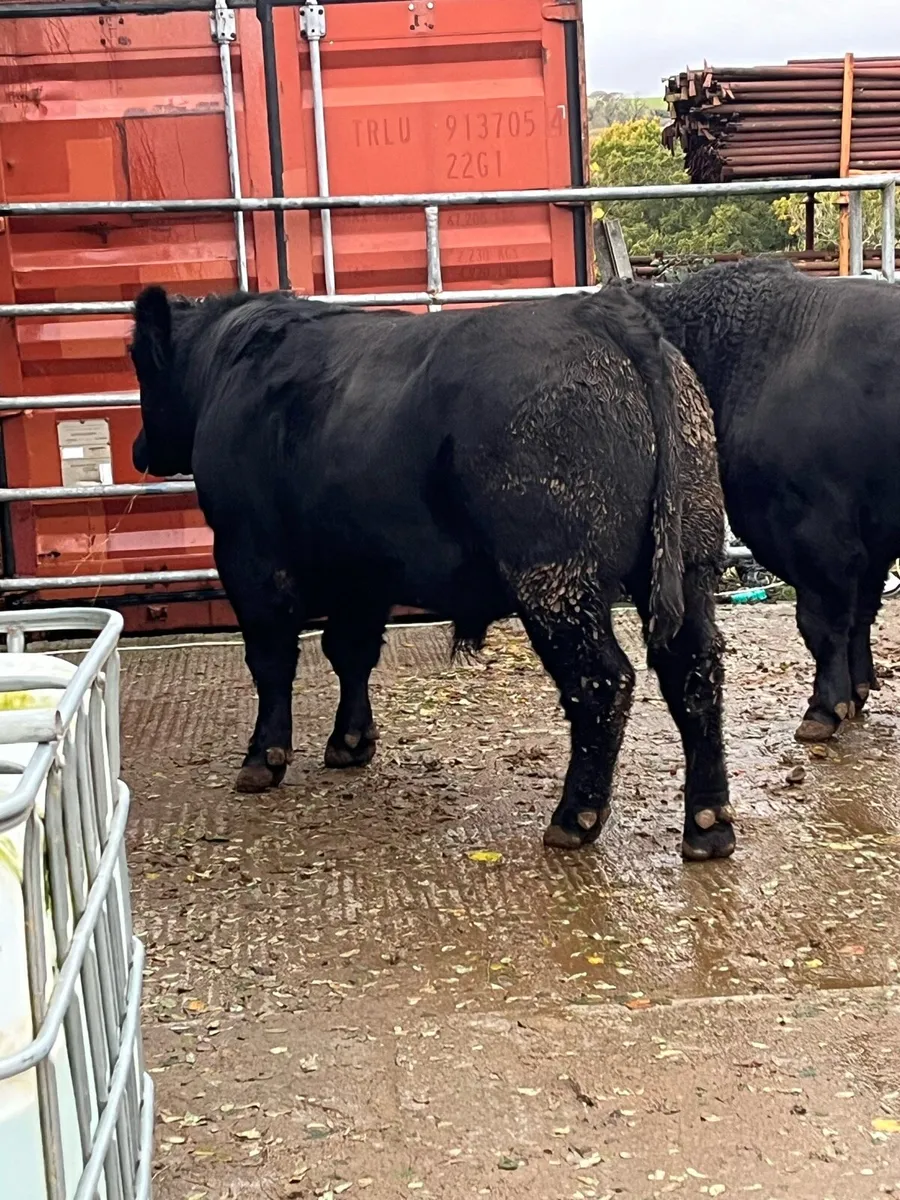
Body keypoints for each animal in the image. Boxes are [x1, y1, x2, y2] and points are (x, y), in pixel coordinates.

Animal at [129, 285, 733, 860]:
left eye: (138, 363)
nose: (138, 449)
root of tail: (605, 312)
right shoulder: (363, 571)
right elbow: (350, 651)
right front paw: (351, 742)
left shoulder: (248, 555)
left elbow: (271, 659)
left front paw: (263, 758)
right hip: (691, 559)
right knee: (694, 671)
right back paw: (707, 826)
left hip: (556, 575)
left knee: (602, 682)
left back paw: (575, 818)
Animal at [628, 258, 900, 742]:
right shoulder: (871, 538)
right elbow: (861, 612)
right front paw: (859, 691)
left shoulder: (816, 534)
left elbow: (823, 621)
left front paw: (824, 709)